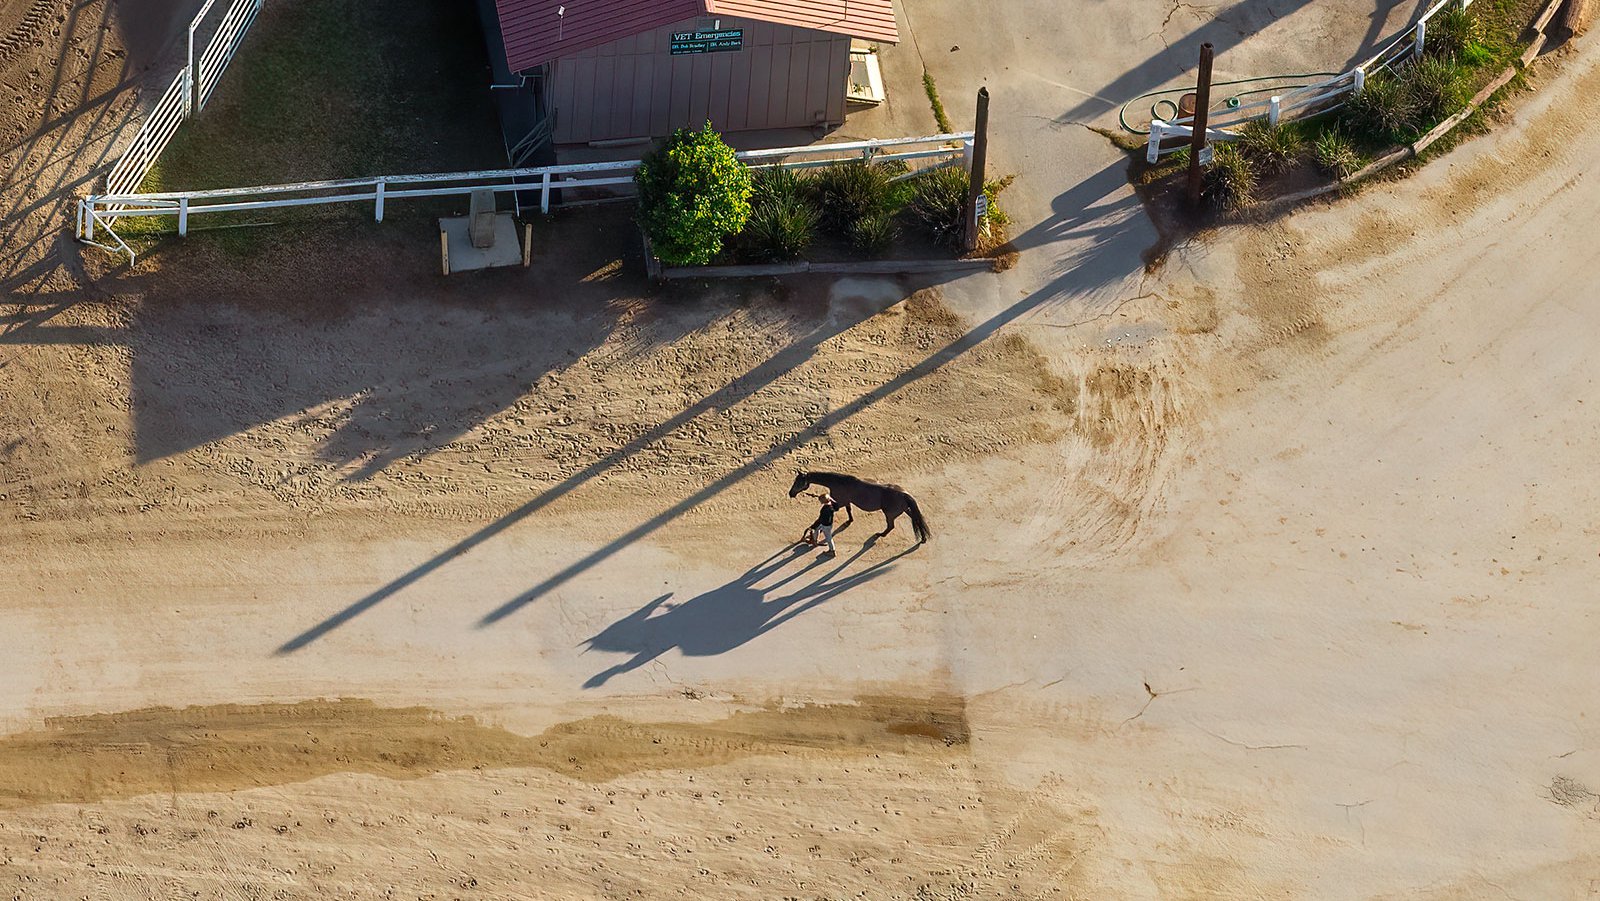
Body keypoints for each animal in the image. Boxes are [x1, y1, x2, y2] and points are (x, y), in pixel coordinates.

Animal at [784, 473, 928, 544]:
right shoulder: (846, 502)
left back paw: (880, 534)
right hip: (905, 510)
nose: (791, 493)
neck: (839, 482)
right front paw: (850, 520)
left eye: (799, 482)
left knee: (891, 526)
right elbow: (849, 511)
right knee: (915, 519)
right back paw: (923, 538)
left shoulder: (838, 503)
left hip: (890, 514)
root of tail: (904, 494)